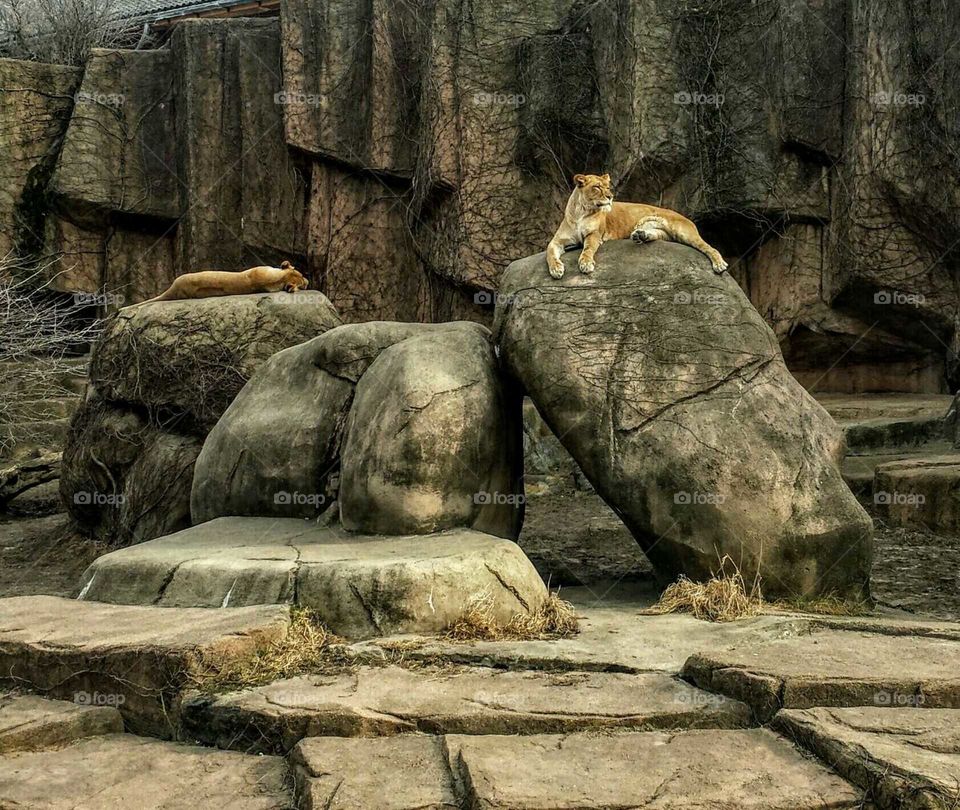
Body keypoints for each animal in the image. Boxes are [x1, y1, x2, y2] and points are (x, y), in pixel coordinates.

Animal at [546, 173, 728, 278]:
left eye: (608, 187)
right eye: (597, 187)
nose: (610, 196)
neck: (581, 212)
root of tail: (685, 217)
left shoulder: (595, 235)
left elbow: (588, 249)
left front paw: (585, 264)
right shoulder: (557, 241)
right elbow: (549, 253)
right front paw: (556, 269)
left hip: (683, 231)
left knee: (710, 248)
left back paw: (719, 265)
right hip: (660, 231)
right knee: (656, 235)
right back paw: (640, 235)